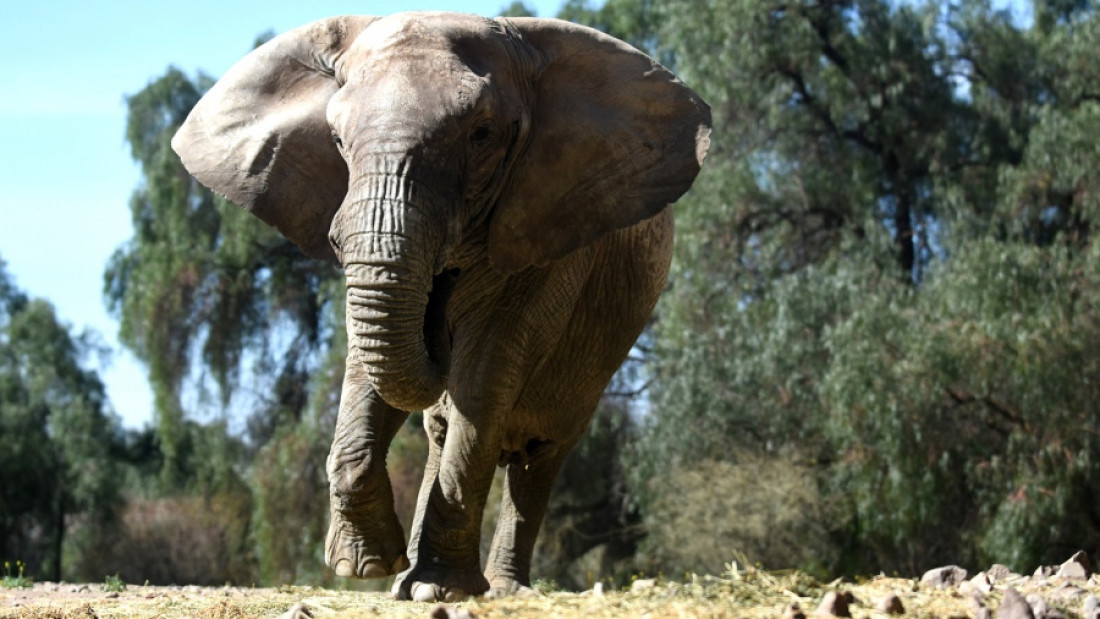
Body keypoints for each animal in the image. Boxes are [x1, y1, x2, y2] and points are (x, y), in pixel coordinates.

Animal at [168, 9, 708, 602]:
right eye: (336, 138)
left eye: (481, 134)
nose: (438, 319)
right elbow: (369, 364)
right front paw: (365, 566)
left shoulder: (546, 234)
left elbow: (483, 374)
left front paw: (442, 590)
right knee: (445, 431)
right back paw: (404, 582)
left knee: (538, 455)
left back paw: (499, 588)